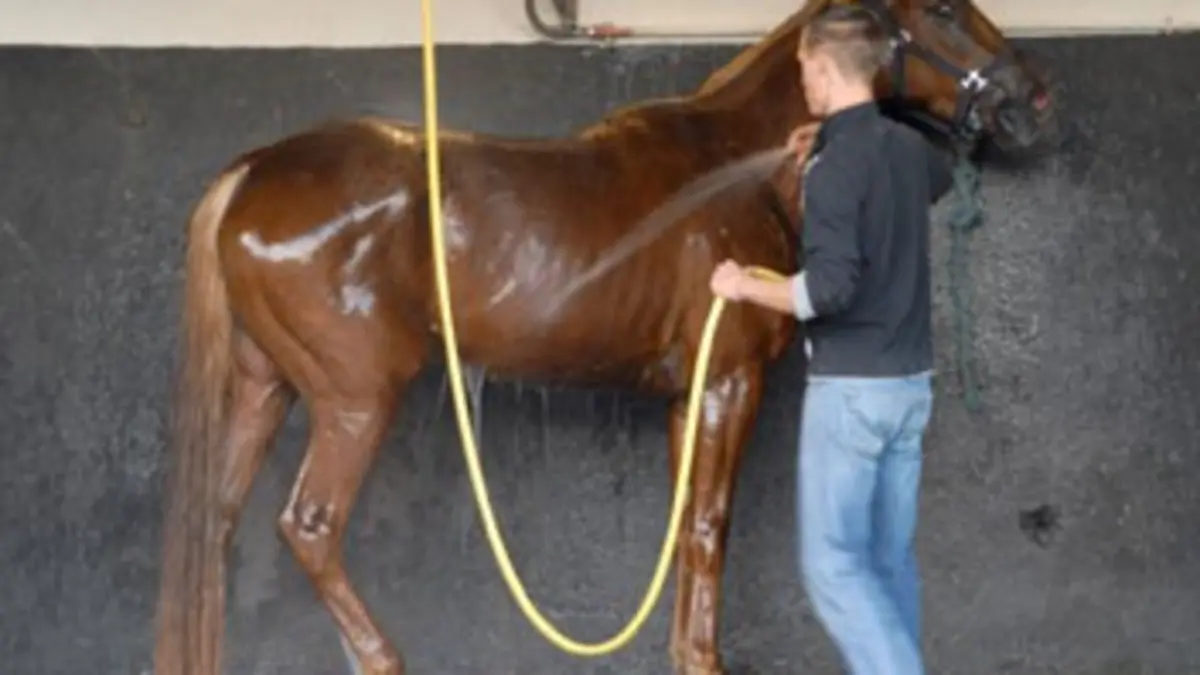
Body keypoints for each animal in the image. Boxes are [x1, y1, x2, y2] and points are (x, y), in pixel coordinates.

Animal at [152, 1, 1059, 674]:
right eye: (942, 8)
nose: (1032, 97)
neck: (739, 170)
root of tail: (255, 172)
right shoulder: (729, 383)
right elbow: (710, 524)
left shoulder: (687, 398)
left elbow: (687, 523)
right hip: (354, 399)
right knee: (310, 526)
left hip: (265, 389)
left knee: (213, 530)